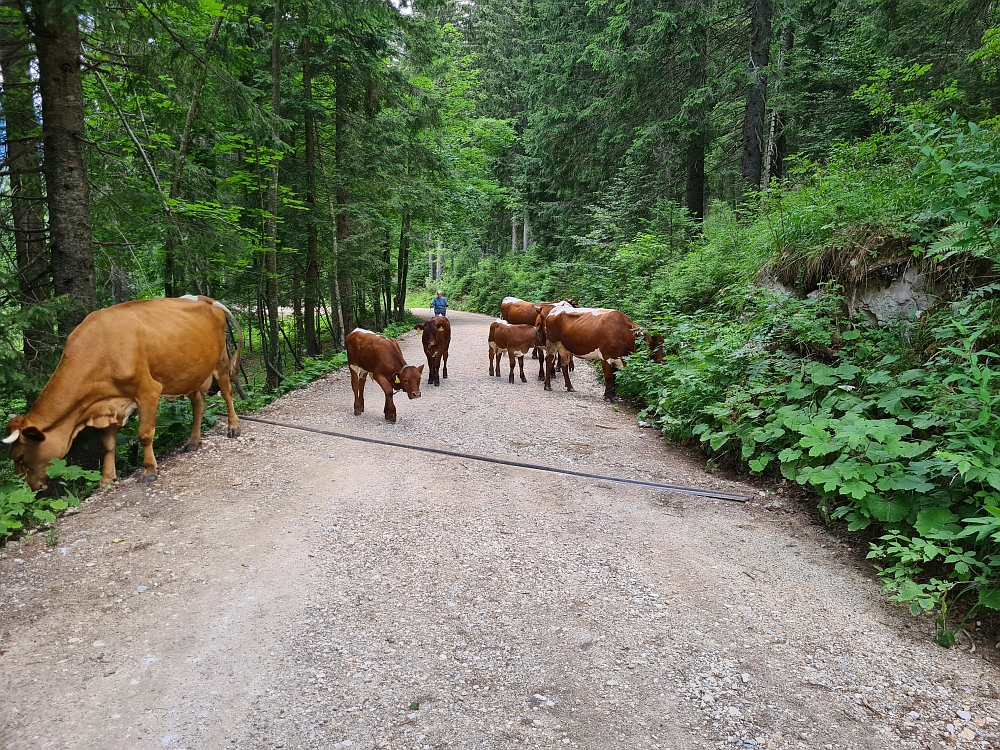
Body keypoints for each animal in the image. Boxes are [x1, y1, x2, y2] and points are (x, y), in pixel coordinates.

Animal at [4, 296, 244, 490]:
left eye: (21, 456)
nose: (32, 488)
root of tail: (203, 299)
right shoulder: (106, 403)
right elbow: (107, 445)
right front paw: (106, 480)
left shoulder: (148, 390)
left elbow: (145, 434)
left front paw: (148, 470)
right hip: (191, 373)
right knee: (198, 404)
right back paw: (193, 442)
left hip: (221, 361)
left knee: (227, 391)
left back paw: (233, 427)